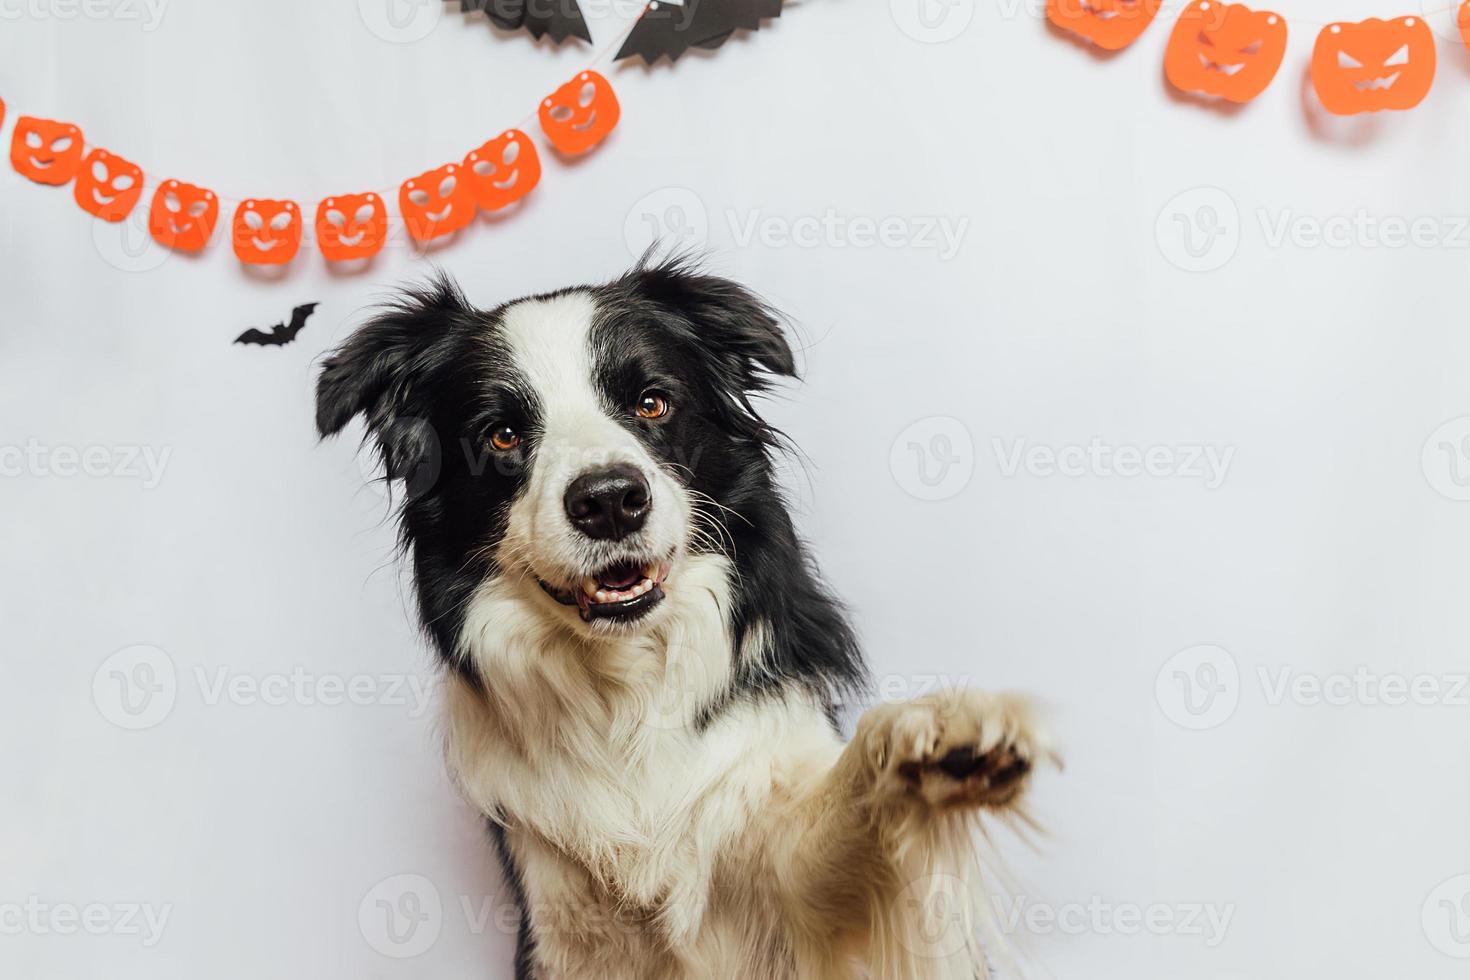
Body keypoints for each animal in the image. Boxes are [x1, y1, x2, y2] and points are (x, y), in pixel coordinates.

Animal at [318, 257, 1058, 975]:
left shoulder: (792, 886)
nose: (609, 501)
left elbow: (843, 818)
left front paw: (941, 734)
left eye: (652, 401)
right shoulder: (562, 925)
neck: (626, 684)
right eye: (501, 436)